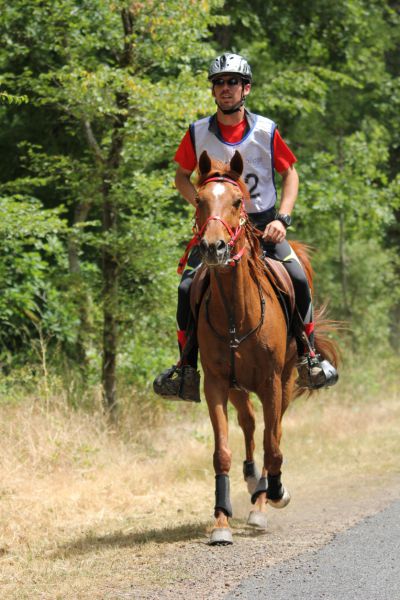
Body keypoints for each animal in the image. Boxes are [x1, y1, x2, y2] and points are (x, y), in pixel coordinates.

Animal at [194, 149, 338, 544]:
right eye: (199, 200)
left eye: (237, 201)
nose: (213, 247)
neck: (235, 313)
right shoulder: (216, 384)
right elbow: (222, 451)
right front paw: (221, 521)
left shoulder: (273, 382)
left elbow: (273, 445)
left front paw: (272, 494)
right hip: (238, 386)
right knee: (249, 423)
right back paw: (250, 480)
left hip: (285, 381)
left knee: (273, 430)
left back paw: (264, 494)